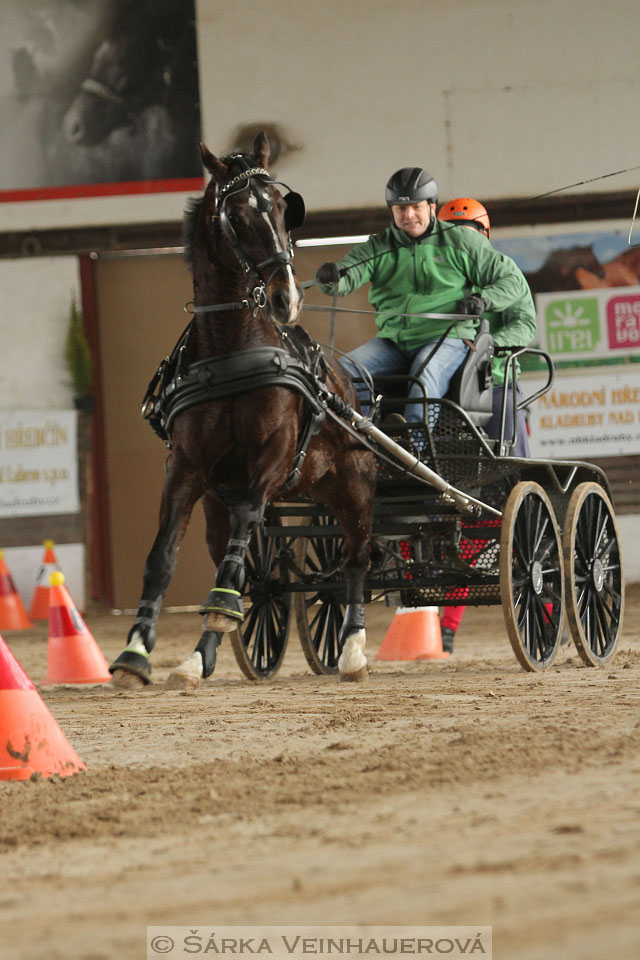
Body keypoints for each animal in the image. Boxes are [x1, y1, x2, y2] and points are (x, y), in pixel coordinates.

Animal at [109, 133, 376, 688]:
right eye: (235, 215)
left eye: (281, 207)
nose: (284, 298)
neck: (231, 349)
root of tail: (348, 383)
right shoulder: (186, 467)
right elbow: (163, 558)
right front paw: (135, 652)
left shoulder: (271, 460)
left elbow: (244, 534)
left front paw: (213, 617)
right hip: (227, 500)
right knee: (243, 561)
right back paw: (201, 657)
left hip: (356, 481)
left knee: (355, 561)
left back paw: (352, 650)